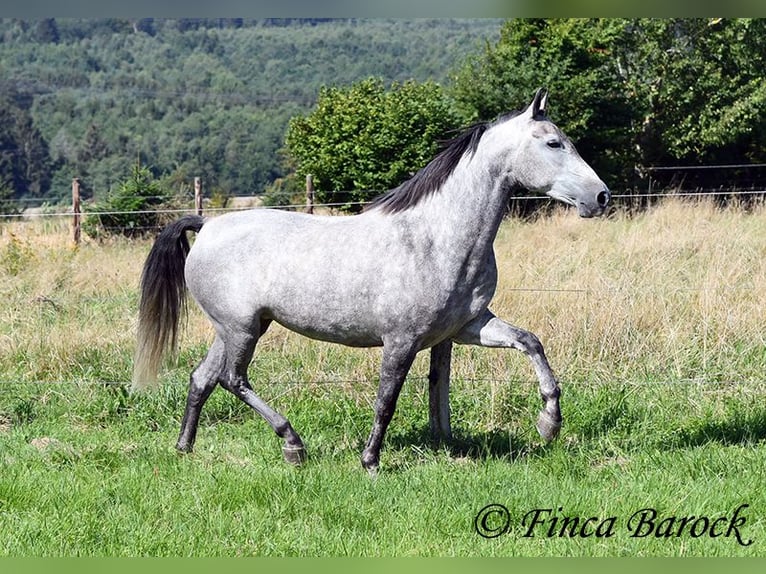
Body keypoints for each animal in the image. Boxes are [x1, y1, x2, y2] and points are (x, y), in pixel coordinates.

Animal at [134, 90, 612, 472]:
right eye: (553, 143)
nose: (601, 196)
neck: (436, 238)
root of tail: (208, 226)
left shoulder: (466, 328)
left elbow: (530, 342)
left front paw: (549, 424)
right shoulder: (401, 341)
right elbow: (387, 400)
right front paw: (370, 461)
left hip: (235, 328)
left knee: (202, 378)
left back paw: (185, 448)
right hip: (242, 328)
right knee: (233, 379)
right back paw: (293, 445)